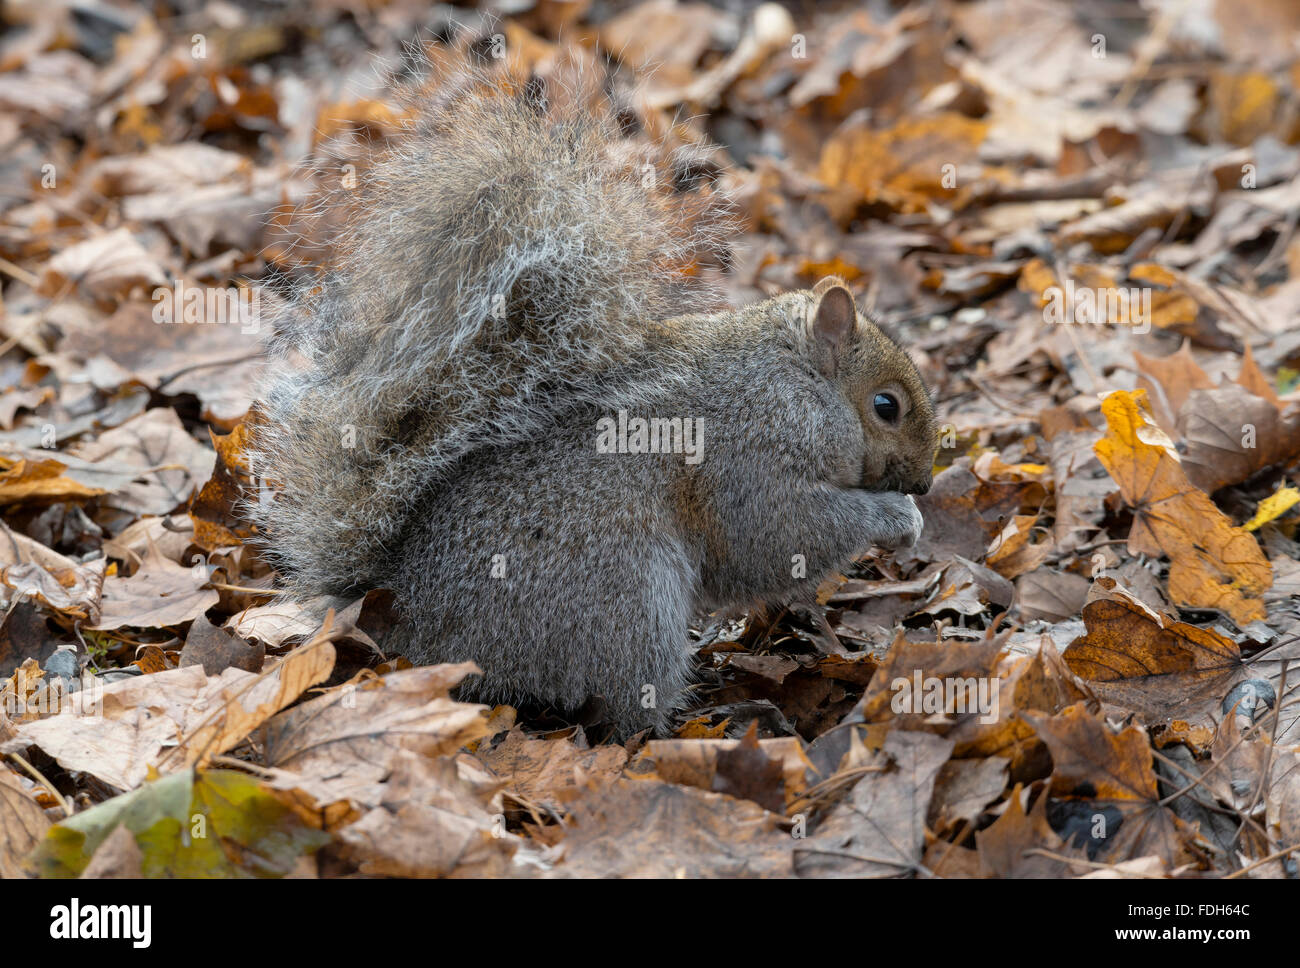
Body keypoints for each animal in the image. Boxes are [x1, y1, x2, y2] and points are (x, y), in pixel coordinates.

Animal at [245, 52, 935, 732]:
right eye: (887, 406)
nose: (927, 482)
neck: (795, 377)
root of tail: (407, 622)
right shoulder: (749, 451)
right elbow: (776, 533)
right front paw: (897, 518)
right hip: (625, 604)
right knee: (625, 712)